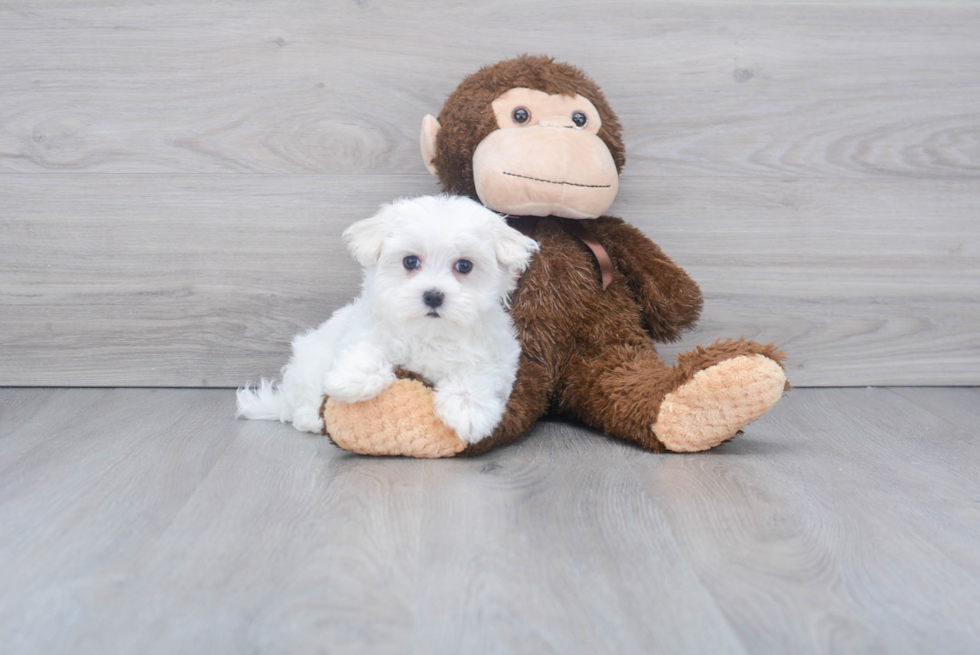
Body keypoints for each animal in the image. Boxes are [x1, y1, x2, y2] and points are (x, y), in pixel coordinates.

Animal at [240, 192, 540, 444]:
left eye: (464, 265)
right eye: (410, 261)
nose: (433, 296)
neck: (430, 333)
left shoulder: (497, 356)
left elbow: (479, 374)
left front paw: (468, 410)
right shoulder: (366, 329)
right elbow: (367, 349)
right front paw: (352, 379)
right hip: (309, 365)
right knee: (299, 406)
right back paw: (312, 419)